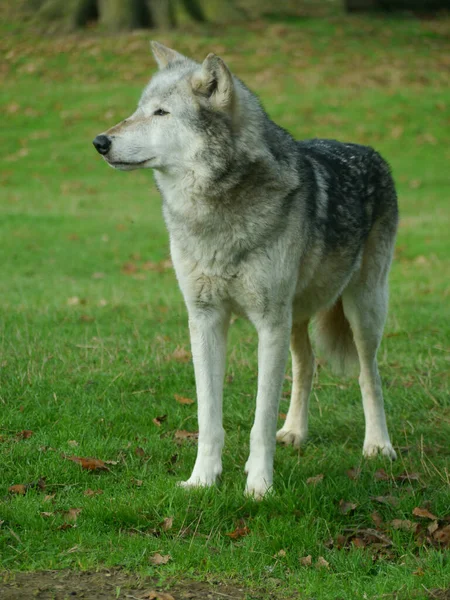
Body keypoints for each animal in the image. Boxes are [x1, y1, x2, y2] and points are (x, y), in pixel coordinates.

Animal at [92, 42, 398, 500]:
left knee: (368, 374)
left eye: (162, 113)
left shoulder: (268, 323)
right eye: (138, 110)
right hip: (296, 317)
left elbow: (259, 420)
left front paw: (259, 487)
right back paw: (294, 432)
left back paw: (378, 445)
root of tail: (371, 151)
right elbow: (208, 418)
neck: (215, 214)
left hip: (361, 311)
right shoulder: (205, 319)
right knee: (307, 365)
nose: (100, 141)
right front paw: (202, 480)